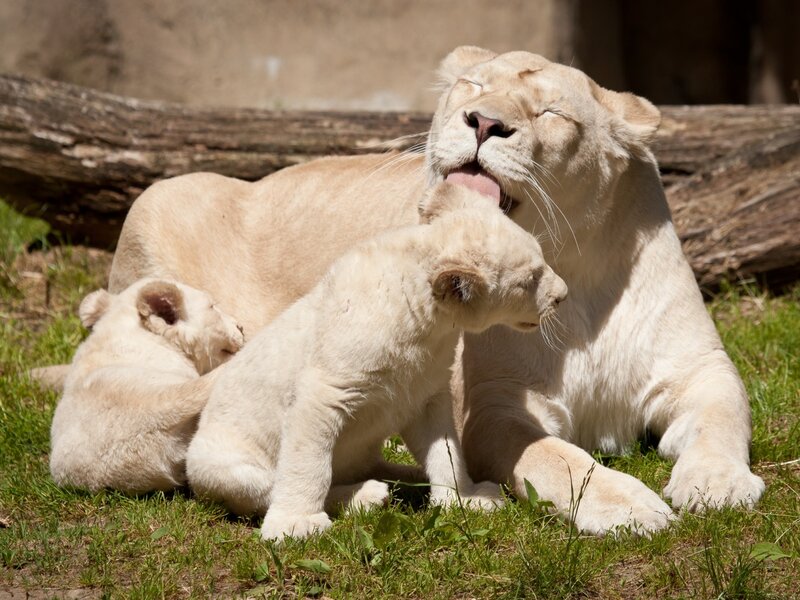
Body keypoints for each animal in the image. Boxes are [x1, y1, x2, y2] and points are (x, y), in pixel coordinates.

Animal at [187, 184, 567, 541]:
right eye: (530, 281)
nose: (562, 295)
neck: (427, 328)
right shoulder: (322, 393)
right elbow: (308, 465)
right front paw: (295, 524)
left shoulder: (425, 395)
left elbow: (447, 451)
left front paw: (465, 497)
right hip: (222, 466)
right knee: (269, 488)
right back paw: (367, 496)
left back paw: (406, 480)